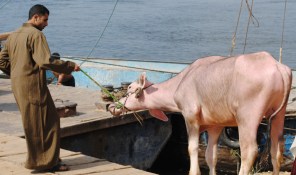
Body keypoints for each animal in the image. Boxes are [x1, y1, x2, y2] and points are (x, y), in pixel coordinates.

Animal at [108, 51, 292, 174]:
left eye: (129, 88)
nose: (110, 106)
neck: (180, 83)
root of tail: (276, 65)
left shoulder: (190, 118)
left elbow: (192, 148)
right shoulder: (215, 126)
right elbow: (211, 156)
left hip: (248, 118)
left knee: (249, 152)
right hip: (278, 115)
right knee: (276, 151)